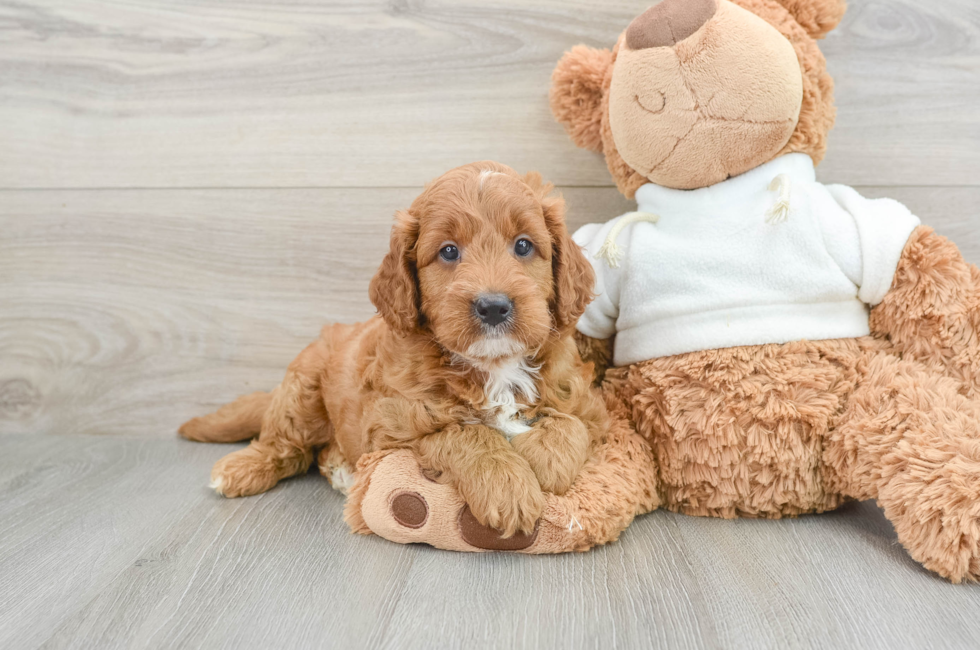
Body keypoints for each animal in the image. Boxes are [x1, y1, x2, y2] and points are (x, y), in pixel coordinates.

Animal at [177, 159, 604, 536]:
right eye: (449, 251)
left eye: (523, 246)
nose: (494, 306)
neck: (495, 365)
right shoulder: (390, 428)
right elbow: (463, 434)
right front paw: (508, 487)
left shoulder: (587, 403)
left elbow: (572, 422)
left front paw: (546, 462)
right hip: (303, 388)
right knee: (286, 445)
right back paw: (241, 469)